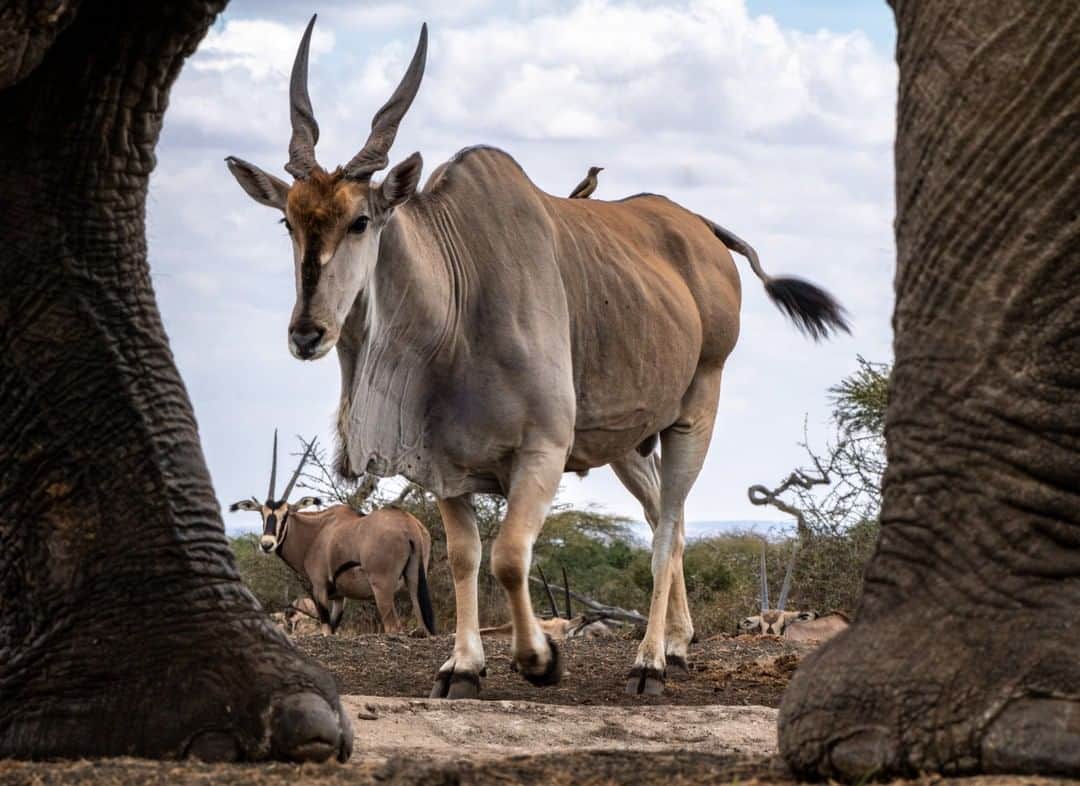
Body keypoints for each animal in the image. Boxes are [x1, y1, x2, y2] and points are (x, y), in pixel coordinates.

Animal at [229, 431, 437, 636]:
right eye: (262, 514)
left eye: (286, 514)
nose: (266, 544)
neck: (316, 532)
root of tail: (409, 526)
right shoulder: (339, 597)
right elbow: (334, 627)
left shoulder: (319, 588)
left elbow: (326, 629)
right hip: (415, 581)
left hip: (382, 586)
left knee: (393, 627)